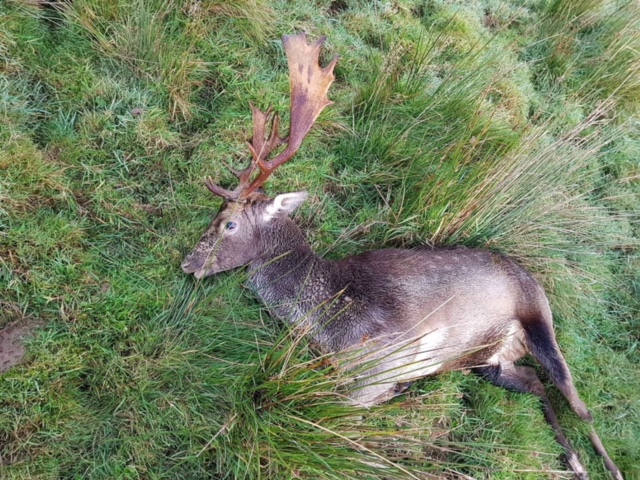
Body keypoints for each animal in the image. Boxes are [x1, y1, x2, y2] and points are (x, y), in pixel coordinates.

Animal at [181, 33, 624, 480]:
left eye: (228, 223)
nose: (188, 263)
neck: (326, 322)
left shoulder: (379, 364)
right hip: (488, 362)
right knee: (534, 381)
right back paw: (574, 462)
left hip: (539, 315)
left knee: (580, 406)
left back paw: (603, 465)